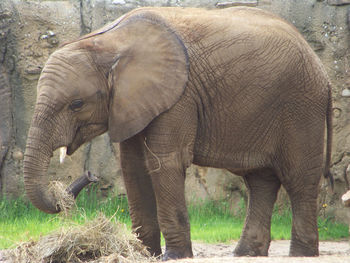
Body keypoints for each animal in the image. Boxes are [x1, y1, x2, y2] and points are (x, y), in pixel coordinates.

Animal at [22, 7, 334, 260]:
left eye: (76, 104)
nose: (90, 175)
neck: (108, 42)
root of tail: (323, 72)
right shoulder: (132, 102)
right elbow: (133, 167)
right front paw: (143, 253)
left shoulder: (178, 96)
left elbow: (164, 162)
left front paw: (174, 256)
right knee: (260, 181)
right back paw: (246, 254)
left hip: (301, 106)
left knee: (298, 179)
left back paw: (301, 254)